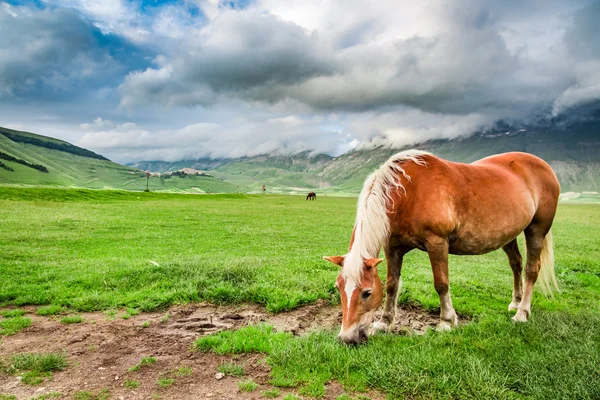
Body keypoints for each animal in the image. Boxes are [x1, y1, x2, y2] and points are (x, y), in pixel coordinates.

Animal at [326, 150, 560, 344]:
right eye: (339, 288)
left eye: (366, 293)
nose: (346, 338)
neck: (408, 193)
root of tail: (544, 165)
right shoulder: (392, 247)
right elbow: (392, 284)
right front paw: (384, 322)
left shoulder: (437, 243)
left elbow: (441, 284)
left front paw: (447, 321)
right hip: (508, 234)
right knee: (516, 264)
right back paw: (515, 302)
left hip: (536, 230)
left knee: (531, 270)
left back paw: (522, 313)